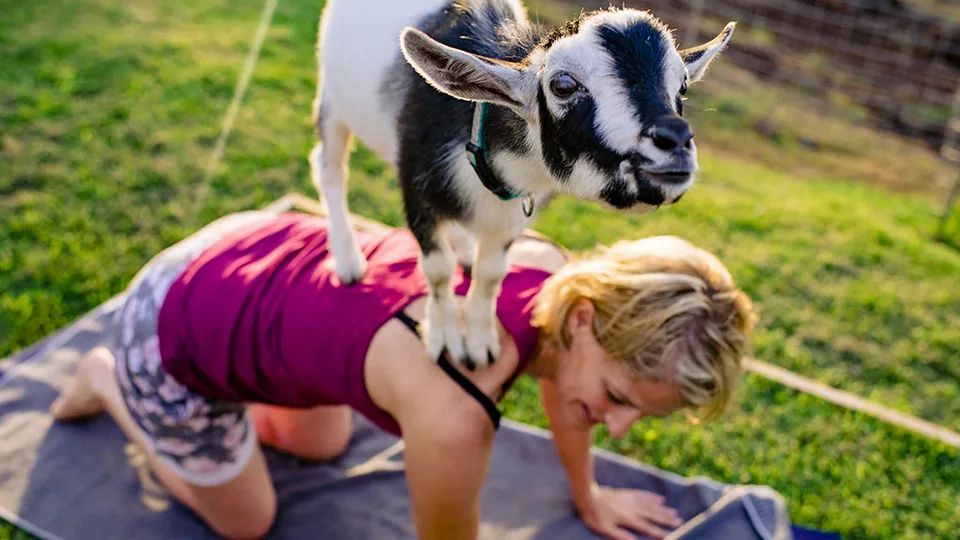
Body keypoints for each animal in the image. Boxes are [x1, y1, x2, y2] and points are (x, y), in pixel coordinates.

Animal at [311, 0, 735, 369]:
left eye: (682, 87)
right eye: (563, 85)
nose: (675, 142)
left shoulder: (513, 215)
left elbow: (491, 273)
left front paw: (479, 343)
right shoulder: (415, 186)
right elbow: (439, 270)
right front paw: (445, 339)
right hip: (330, 98)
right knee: (330, 168)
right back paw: (348, 261)